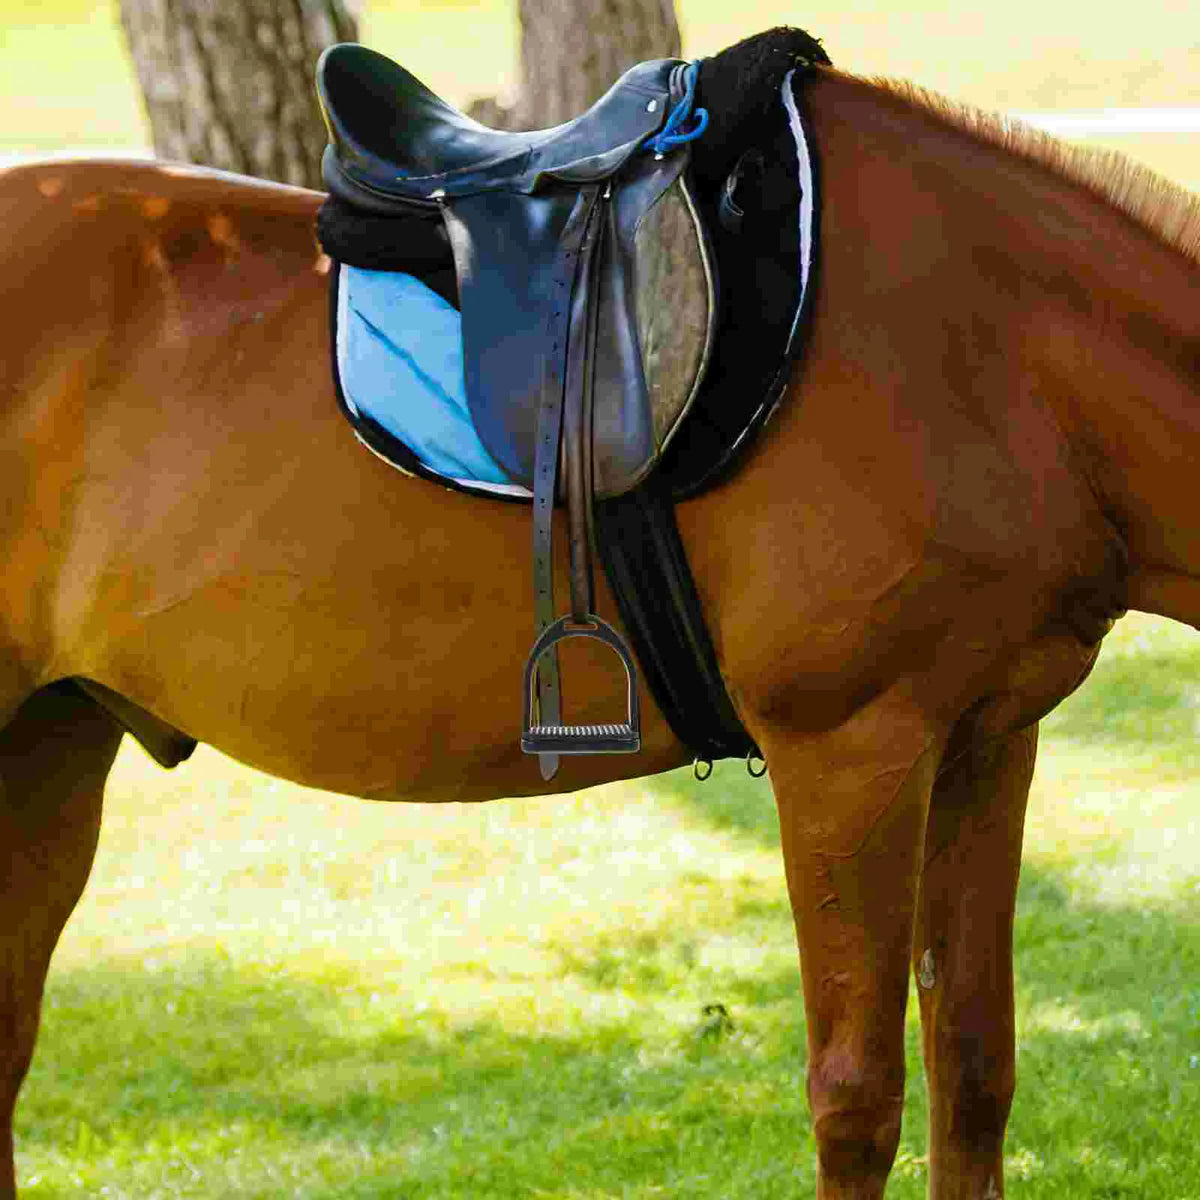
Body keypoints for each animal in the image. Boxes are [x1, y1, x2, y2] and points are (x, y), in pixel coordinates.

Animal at [2, 25, 1197, 1199]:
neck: (996, 362)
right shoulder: (850, 756)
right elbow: (858, 1100)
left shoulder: (987, 746)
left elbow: (975, 1068)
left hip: (53, 745)